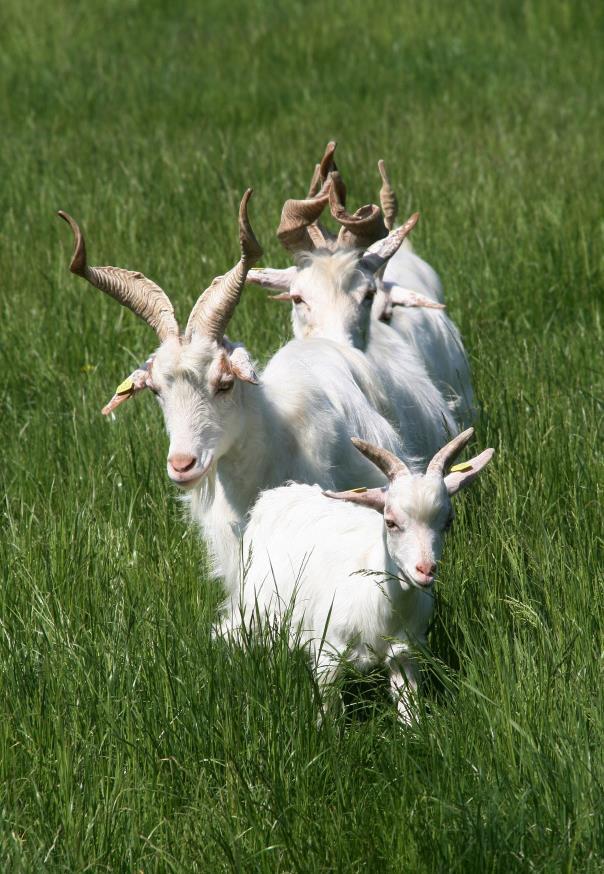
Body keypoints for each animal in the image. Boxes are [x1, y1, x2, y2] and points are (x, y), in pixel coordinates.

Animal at [219, 428, 494, 724]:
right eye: (390, 522)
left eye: (448, 521)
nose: (425, 569)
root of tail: (279, 493)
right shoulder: (327, 653)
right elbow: (327, 713)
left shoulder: (405, 652)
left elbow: (409, 711)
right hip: (255, 608)